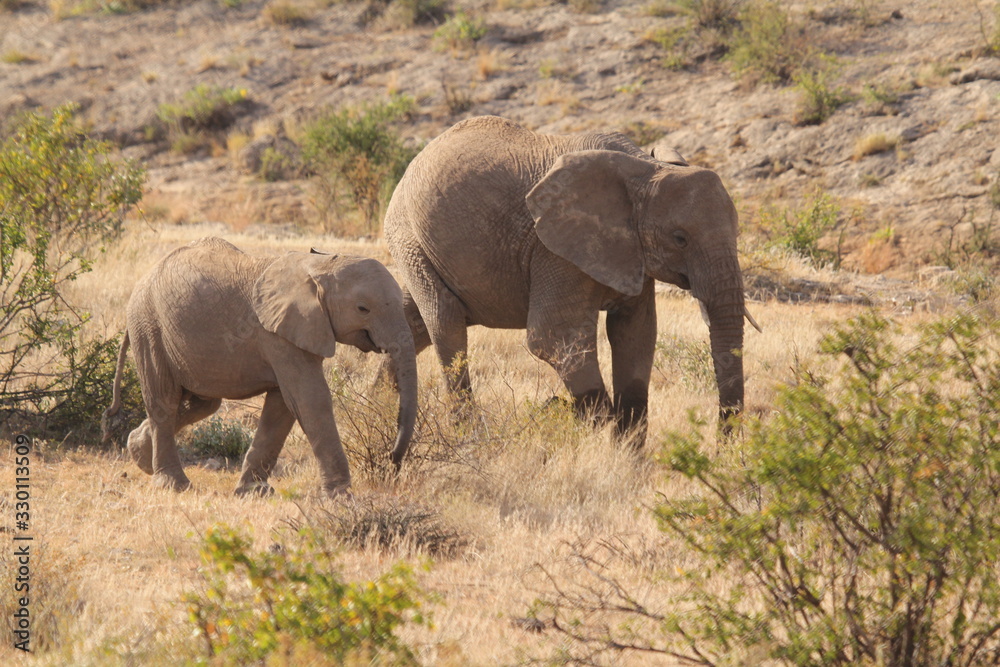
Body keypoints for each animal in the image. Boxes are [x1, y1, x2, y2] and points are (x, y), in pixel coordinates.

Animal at [101, 236, 417, 496]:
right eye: (363, 309)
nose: (391, 458)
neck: (319, 265)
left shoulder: (295, 331)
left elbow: (283, 407)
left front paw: (253, 492)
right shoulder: (278, 334)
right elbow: (309, 399)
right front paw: (341, 496)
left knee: (203, 403)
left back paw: (138, 452)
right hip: (148, 327)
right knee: (164, 402)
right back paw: (173, 485)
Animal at [382, 115, 757, 444]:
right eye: (680, 239)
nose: (722, 447)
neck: (644, 169)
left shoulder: (631, 252)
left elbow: (635, 336)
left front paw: (626, 462)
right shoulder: (554, 248)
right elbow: (551, 336)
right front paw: (568, 417)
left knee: (412, 322)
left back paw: (382, 411)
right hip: (410, 237)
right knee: (446, 325)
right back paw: (469, 437)